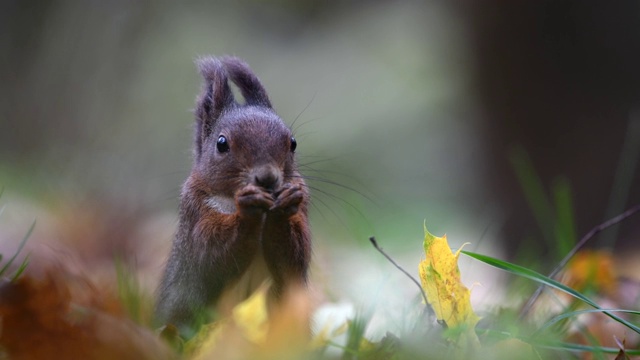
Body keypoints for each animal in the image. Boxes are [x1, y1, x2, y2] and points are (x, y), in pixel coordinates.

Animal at [158, 56, 312, 334]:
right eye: (221, 144)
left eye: (293, 143)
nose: (268, 178)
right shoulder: (195, 212)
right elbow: (210, 253)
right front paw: (247, 210)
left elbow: (296, 255)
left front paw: (286, 205)